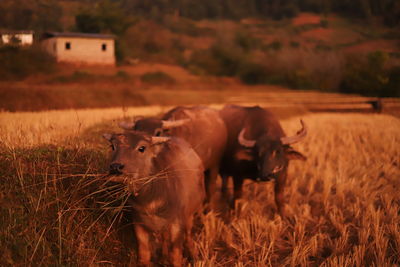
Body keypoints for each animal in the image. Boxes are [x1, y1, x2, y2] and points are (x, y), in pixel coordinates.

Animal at [103, 132, 205, 267]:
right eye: (113, 146)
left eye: (142, 148)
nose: (115, 167)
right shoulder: (138, 220)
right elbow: (144, 251)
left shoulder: (177, 222)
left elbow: (175, 254)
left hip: (190, 215)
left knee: (188, 235)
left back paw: (193, 255)